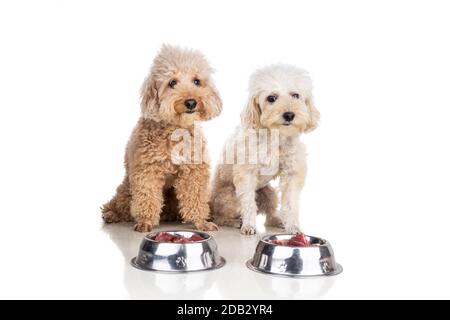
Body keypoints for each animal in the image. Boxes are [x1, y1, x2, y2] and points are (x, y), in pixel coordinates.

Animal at [102, 45, 221, 232]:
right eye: (172, 82)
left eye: (197, 81)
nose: (191, 102)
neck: (175, 130)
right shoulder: (146, 171)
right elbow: (147, 197)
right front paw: (145, 221)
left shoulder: (193, 172)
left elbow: (196, 197)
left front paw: (202, 221)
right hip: (127, 189)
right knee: (118, 204)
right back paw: (111, 214)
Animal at [211, 65, 320, 235]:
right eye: (271, 98)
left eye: (295, 95)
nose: (289, 115)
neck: (275, 136)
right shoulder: (246, 174)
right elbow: (248, 203)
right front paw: (249, 226)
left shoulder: (291, 174)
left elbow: (290, 203)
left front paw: (292, 226)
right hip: (229, 197)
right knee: (220, 217)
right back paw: (235, 222)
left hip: (269, 193)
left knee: (269, 215)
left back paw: (278, 220)